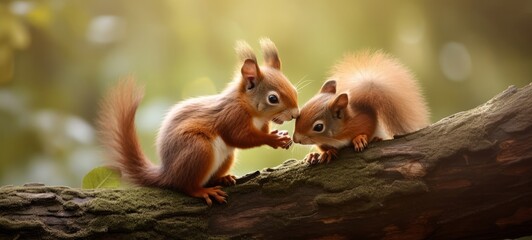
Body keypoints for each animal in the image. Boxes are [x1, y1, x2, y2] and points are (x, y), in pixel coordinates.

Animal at [97, 38, 300, 205]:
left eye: (294, 90)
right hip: (198, 149)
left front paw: (281, 135)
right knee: (185, 186)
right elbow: (239, 138)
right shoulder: (231, 116)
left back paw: (222, 179)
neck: (253, 112)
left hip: (226, 156)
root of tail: (168, 173)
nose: (295, 114)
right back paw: (203, 191)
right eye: (272, 99)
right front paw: (273, 139)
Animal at [294, 49, 430, 164]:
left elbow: (367, 129)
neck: (336, 136)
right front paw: (327, 152)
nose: (296, 139)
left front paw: (359, 138)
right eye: (300, 113)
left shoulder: (363, 120)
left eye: (318, 127)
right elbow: (322, 147)